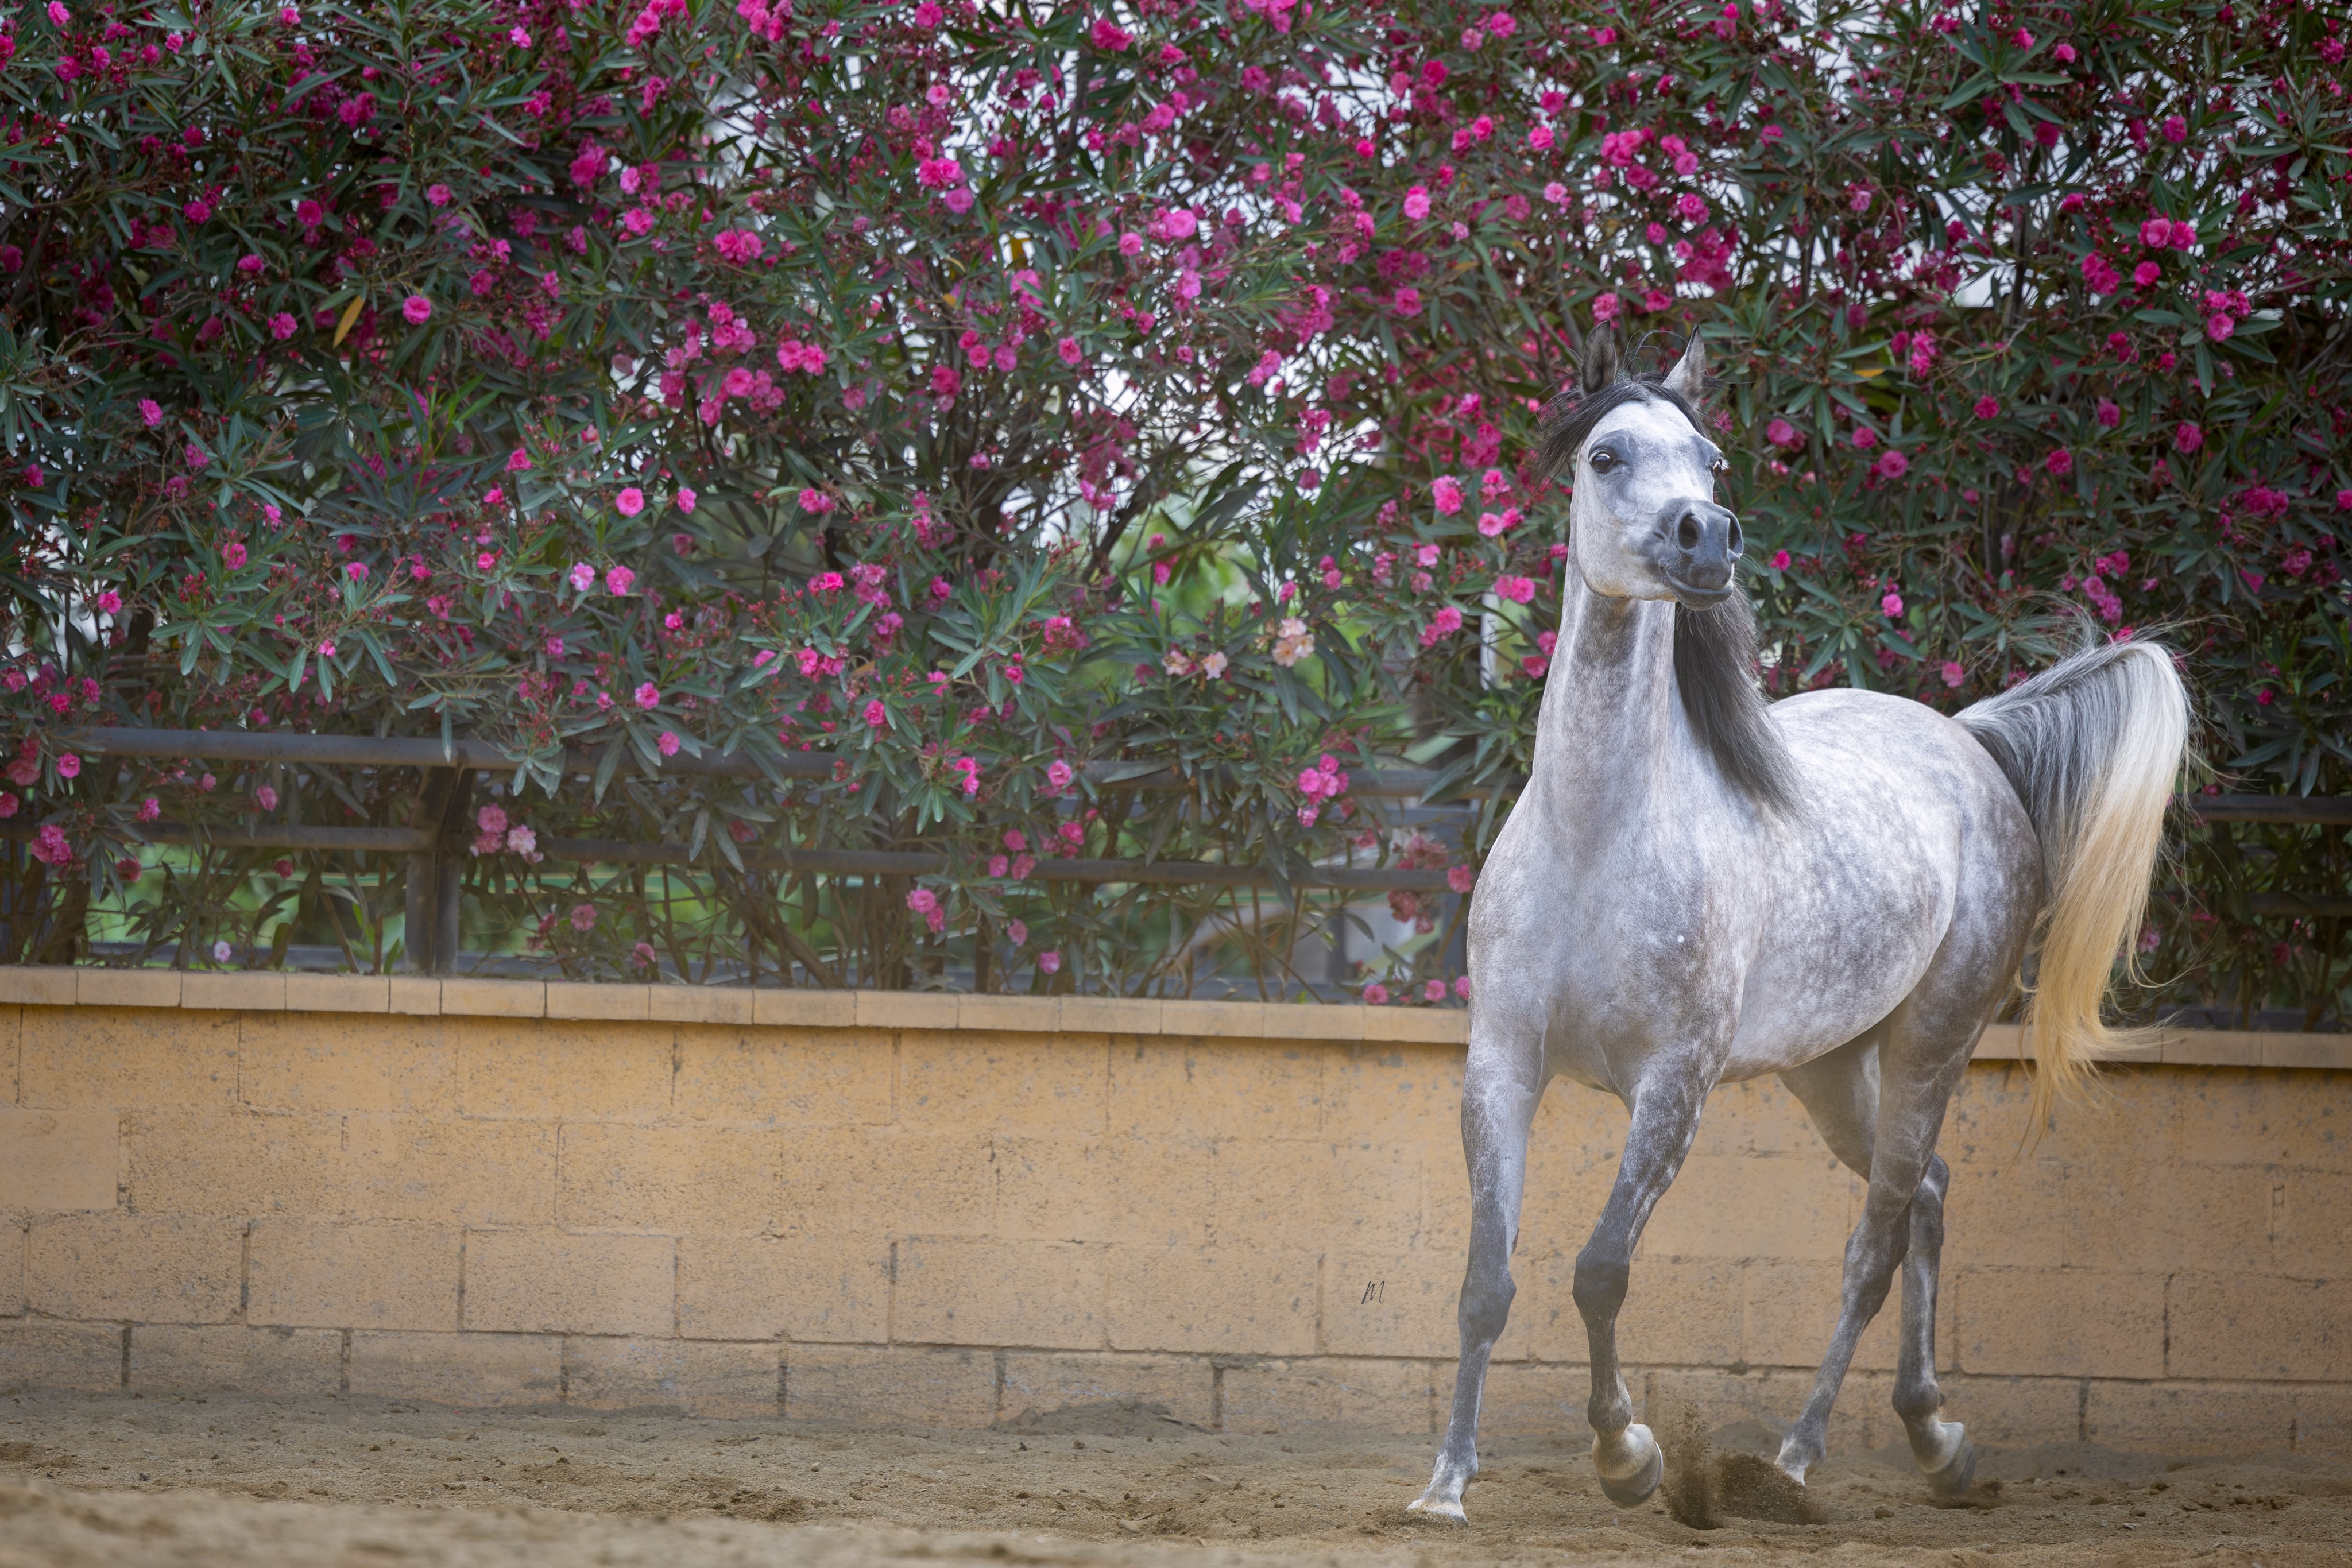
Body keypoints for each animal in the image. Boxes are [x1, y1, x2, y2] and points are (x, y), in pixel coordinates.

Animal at [1409, 330, 2190, 1521]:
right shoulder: (1500, 1067)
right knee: (1925, 1198)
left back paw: (1811, 1455)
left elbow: (1599, 1270)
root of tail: (1968, 741)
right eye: (1605, 454)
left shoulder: (1673, 1087)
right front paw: (1447, 1484)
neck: (1597, 839)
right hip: (1827, 1070)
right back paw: (1922, 1439)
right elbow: (1483, 1282)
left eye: (1711, 460)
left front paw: (1627, 1455)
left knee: (1876, 1239)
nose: (1706, 537)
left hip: (1928, 1049)